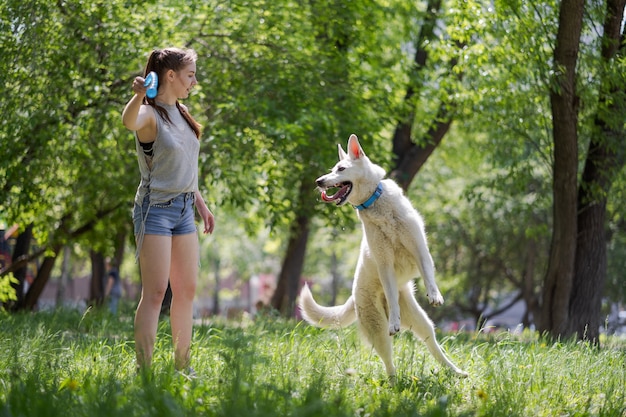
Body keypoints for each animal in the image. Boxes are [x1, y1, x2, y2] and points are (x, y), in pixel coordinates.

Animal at [296, 133, 464, 380]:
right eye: (332, 169)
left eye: (341, 168)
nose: (318, 181)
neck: (374, 202)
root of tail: (353, 297)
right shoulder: (385, 265)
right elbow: (392, 297)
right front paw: (394, 321)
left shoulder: (419, 248)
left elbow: (427, 273)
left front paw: (434, 295)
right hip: (378, 330)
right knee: (388, 361)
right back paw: (395, 383)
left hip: (422, 321)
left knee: (432, 344)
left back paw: (456, 371)